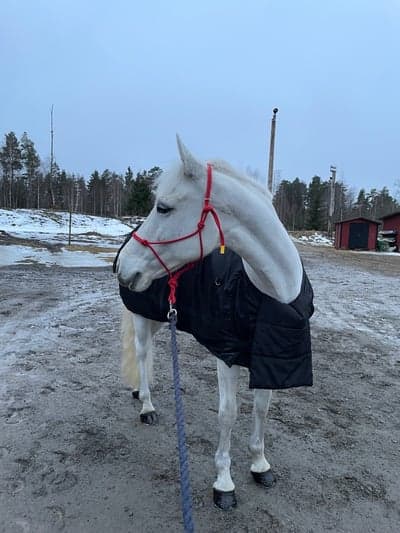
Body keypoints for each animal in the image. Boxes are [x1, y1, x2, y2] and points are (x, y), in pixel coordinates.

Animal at [115, 135, 312, 510]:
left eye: (163, 207)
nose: (123, 265)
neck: (269, 292)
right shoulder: (227, 355)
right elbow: (228, 413)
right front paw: (224, 482)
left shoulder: (270, 359)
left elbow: (262, 409)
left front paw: (259, 464)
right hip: (143, 318)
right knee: (143, 354)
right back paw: (146, 404)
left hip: (160, 317)